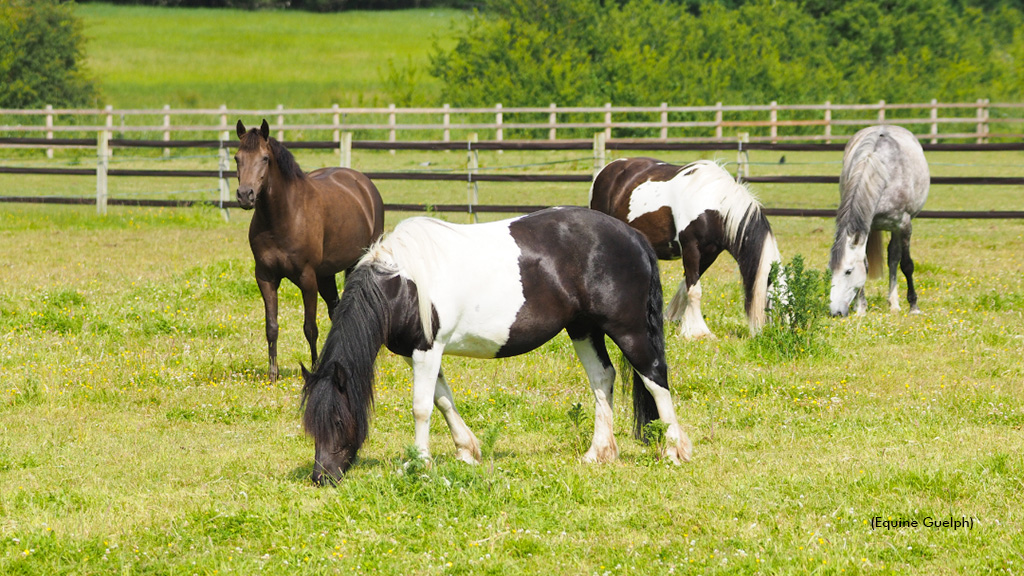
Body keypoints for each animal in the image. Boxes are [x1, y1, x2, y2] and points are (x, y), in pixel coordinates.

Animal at [235, 119, 384, 381]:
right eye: (237, 158)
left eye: (265, 158)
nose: (245, 195)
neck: (283, 216)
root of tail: (364, 185)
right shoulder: (265, 277)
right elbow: (271, 326)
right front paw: (272, 374)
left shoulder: (307, 278)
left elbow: (310, 327)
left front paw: (314, 368)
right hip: (326, 274)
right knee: (336, 310)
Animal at [301, 206, 692, 484]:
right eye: (311, 426)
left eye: (337, 420)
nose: (321, 477)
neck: (401, 284)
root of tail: (632, 235)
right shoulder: (421, 354)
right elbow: (443, 400)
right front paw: (466, 450)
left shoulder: (427, 349)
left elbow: (422, 407)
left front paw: (420, 463)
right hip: (583, 329)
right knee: (602, 378)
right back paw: (598, 453)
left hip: (629, 330)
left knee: (655, 378)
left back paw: (676, 452)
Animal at [590, 158, 785, 339]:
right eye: (779, 301)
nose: (780, 334)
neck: (714, 206)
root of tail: (608, 169)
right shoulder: (691, 249)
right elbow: (695, 290)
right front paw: (699, 332)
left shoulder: (709, 254)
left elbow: (686, 286)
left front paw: (676, 321)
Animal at [828, 125, 929, 317]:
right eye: (831, 270)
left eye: (848, 271)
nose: (835, 312)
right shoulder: (866, 227)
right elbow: (865, 264)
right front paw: (860, 308)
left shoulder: (904, 226)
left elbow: (907, 264)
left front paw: (914, 306)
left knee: (894, 258)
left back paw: (895, 303)